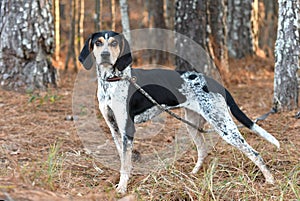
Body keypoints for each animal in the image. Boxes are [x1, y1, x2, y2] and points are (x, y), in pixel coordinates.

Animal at [78, 30, 280, 193]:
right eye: (98, 43)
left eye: (114, 43)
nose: (105, 55)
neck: (112, 80)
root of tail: (215, 83)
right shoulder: (114, 128)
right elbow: (123, 158)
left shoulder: (128, 128)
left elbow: (126, 162)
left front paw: (122, 188)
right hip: (193, 124)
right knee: (203, 150)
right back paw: (194, 173)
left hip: (224, 126)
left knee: (254, 153)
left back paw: (270, 180)